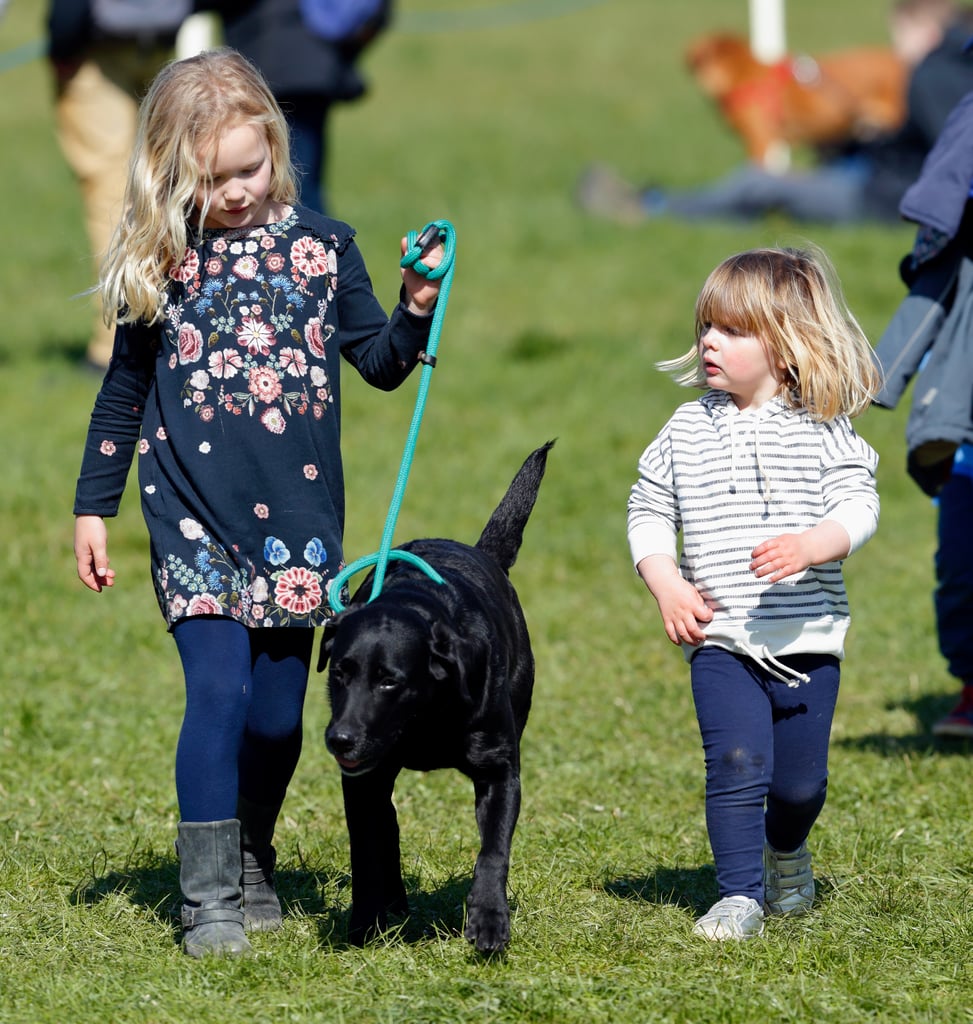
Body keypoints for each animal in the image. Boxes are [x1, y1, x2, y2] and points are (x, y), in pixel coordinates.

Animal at [319, 440, 557, 950]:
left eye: (389, 681)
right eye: (341, 674)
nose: (340, 739)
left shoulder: (500, 772)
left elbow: (492, 852)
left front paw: (489, 919)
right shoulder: (362, 781)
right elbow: (368, 850)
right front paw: (364, 922)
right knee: (385, 833)